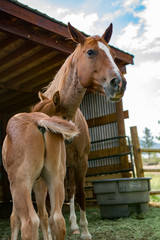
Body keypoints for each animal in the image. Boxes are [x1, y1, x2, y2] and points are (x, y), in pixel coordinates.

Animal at [1, 101, 78, 238]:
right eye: (63, 116)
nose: (70, 140)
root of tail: (38, 121)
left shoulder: (14, 186)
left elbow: (14, 218)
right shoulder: (40, 182)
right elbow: (43, 215)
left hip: (20, 183)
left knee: (29, 222)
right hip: (56, 179)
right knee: (57, 219)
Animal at [41, 22, 126, 238]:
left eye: (113, 54)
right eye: (90, 52)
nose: (119, 83)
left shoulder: (81, 163)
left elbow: (79, 195)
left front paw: (85, 231)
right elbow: (48, 200)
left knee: (70, 191)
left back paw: (74, 225)